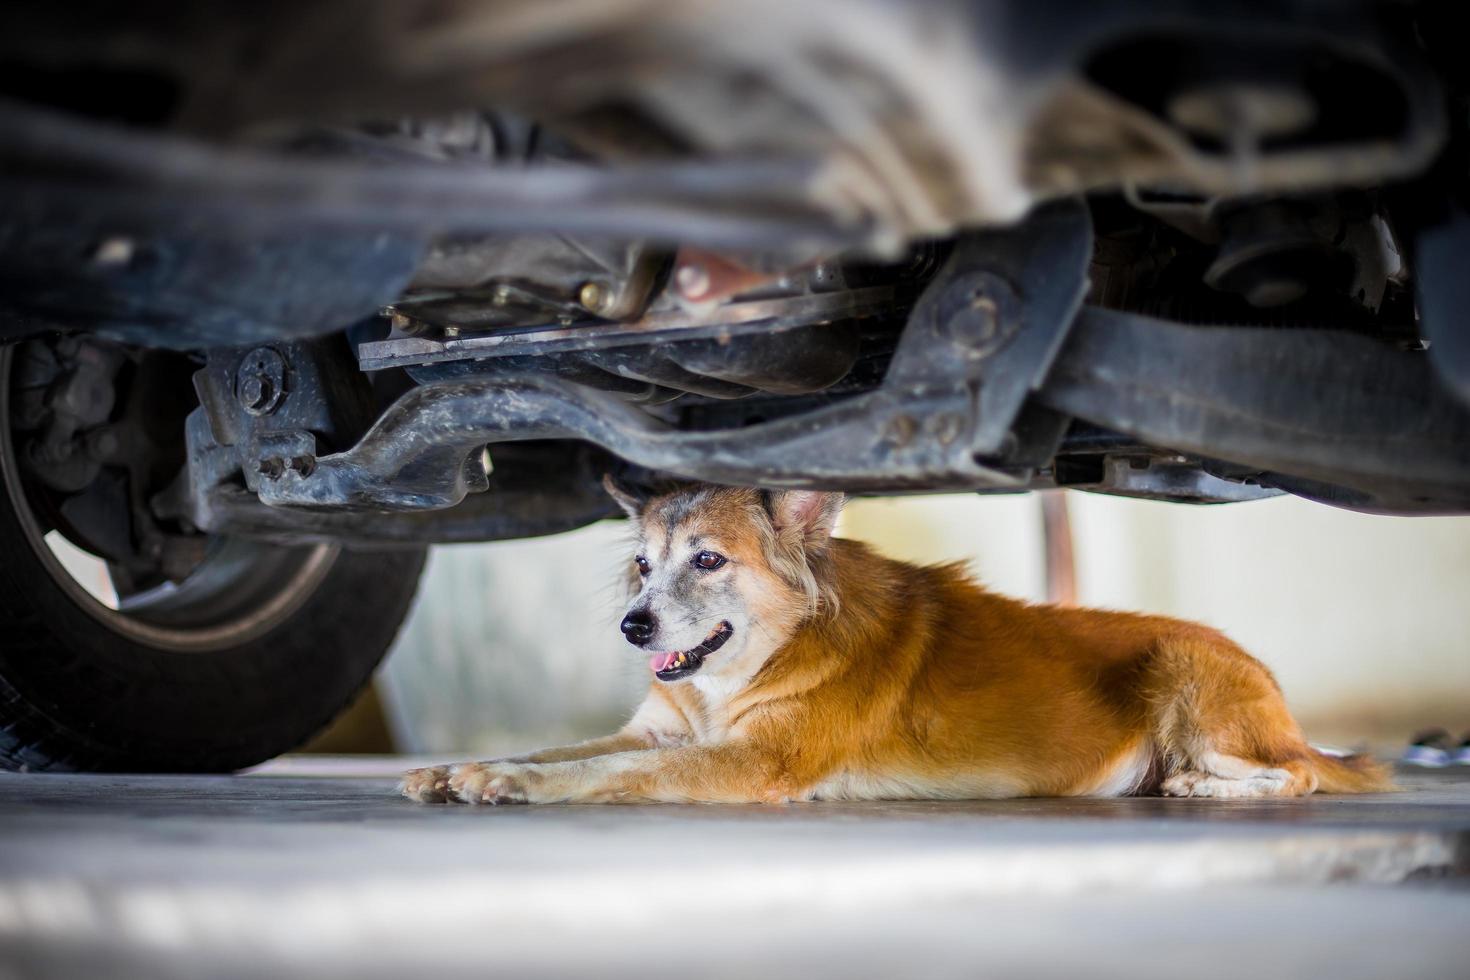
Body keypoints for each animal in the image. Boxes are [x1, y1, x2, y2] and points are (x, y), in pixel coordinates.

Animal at [402, 481, 1387, 805]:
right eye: (643, 565)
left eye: (709, 560)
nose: (632, 625)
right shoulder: (658, 731)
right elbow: (569, 747)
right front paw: (457, 767)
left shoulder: (748, 763)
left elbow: (603, 771)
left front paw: (506, 783)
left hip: (1190, 684)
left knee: (1298, 775)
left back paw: (1206, 787)